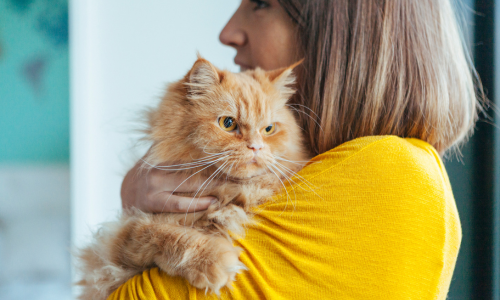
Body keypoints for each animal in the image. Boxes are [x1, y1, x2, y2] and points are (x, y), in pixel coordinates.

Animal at [76, 56, 308, 300]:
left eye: (269, 129)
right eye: (228, 123)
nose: (256, 147)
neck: (228, 194)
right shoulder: (121, 243)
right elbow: (168, 236)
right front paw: (213, 262)